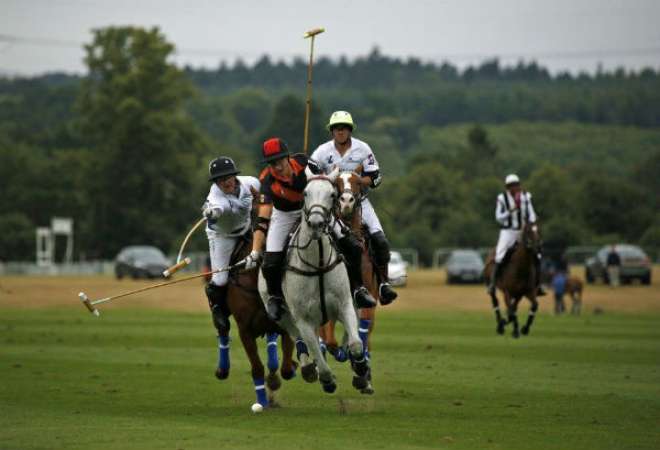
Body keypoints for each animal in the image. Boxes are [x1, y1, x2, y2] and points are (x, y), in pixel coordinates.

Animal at [211, 236, 296, 408]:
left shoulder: (285, 327)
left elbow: (286, 369)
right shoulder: (245, 330)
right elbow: (257, 368)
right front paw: (262, 402)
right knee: (223, 327)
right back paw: (222, 370)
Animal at [260, 166, 372, 394]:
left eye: (332, 194)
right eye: (305, 193)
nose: (316, 224)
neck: (317, 262)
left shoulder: (345, 304)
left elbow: (356, 343)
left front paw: (361, 367)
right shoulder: (303, 319)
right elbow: (316, 351)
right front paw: (327, 379)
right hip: (281, 312)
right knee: (297, 336)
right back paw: (308, 367)